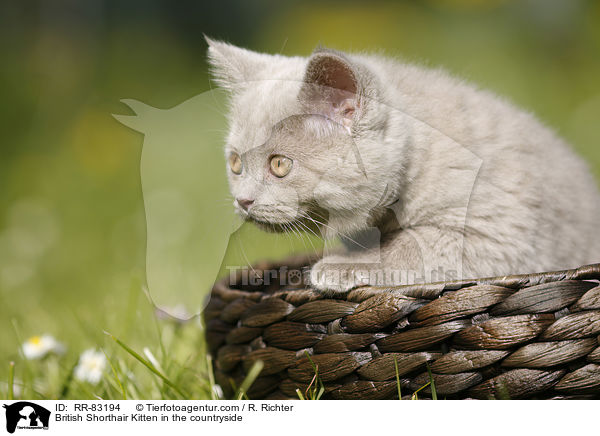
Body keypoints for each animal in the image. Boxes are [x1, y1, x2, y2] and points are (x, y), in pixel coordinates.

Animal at [207, 37, 600, 294]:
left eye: (279, 165)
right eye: (235, 163)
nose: (243, 200)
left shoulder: (496, 233)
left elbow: (411, 247)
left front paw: (342, 267)